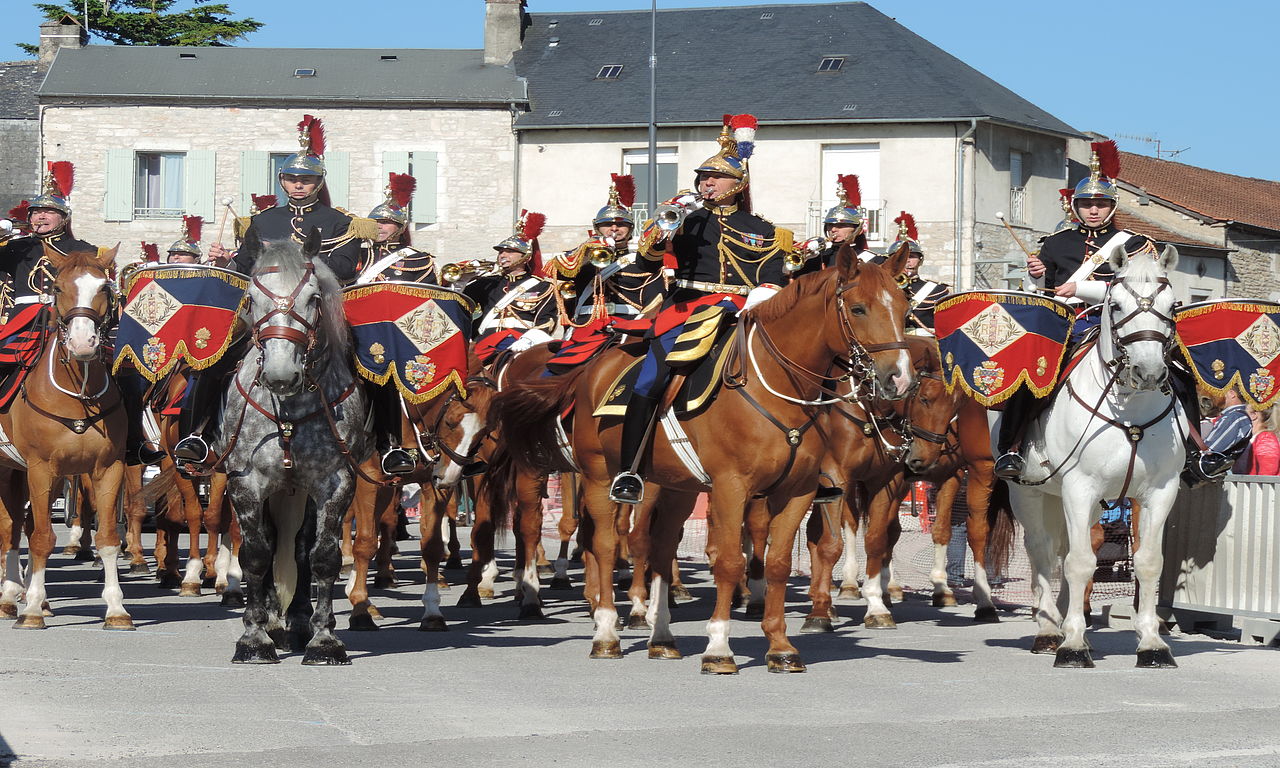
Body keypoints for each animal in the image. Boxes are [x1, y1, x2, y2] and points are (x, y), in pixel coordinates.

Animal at [0, 244, 132, 629]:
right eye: (57, 288)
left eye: (104, 287)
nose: (82, 342)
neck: (79, 394)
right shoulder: (40, 468)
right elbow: (42, 538)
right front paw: (30, 610)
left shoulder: (107, 469)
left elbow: (108, 538)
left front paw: (116, 609)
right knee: (10, 528)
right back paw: (12, 596)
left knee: (22, 524)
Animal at [219, 231, 369, 664]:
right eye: (252, 298)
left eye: (313, 298)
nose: (281, 374)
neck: (289, 409)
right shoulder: (245, 483)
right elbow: (255, 554)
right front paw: (253, 638)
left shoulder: (336, 484)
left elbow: (323, 557)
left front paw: (325, 640)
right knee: (270, 544)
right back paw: (272, 620)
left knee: (301, 548)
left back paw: (300, 622)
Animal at [495, 242, 912, 673]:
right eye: (858, 308)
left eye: (904, 308)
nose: (898, 380)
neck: (776, 386)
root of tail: (594, 364)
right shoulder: (732, 487)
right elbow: (727, 560)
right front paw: (718, 647)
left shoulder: (797, 492)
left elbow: (778, 562)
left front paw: (780, 646)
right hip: (595, 477)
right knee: (602, 542)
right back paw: (602, 629)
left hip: (674, 486)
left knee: (660, 546)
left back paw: (661, 637)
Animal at [1001, 244, 1183, 668]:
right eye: (1114, 305)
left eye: (1172, 305)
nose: (1149, 372)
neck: (1131, 411)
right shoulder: (1078, 488)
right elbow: (1079, 563)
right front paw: (1071, 646)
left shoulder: (1159, 492)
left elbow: (1147, 562)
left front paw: (1152, 643)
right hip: (1028, 493)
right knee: (1043, 552)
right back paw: (1049, 629)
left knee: (1071, 548)